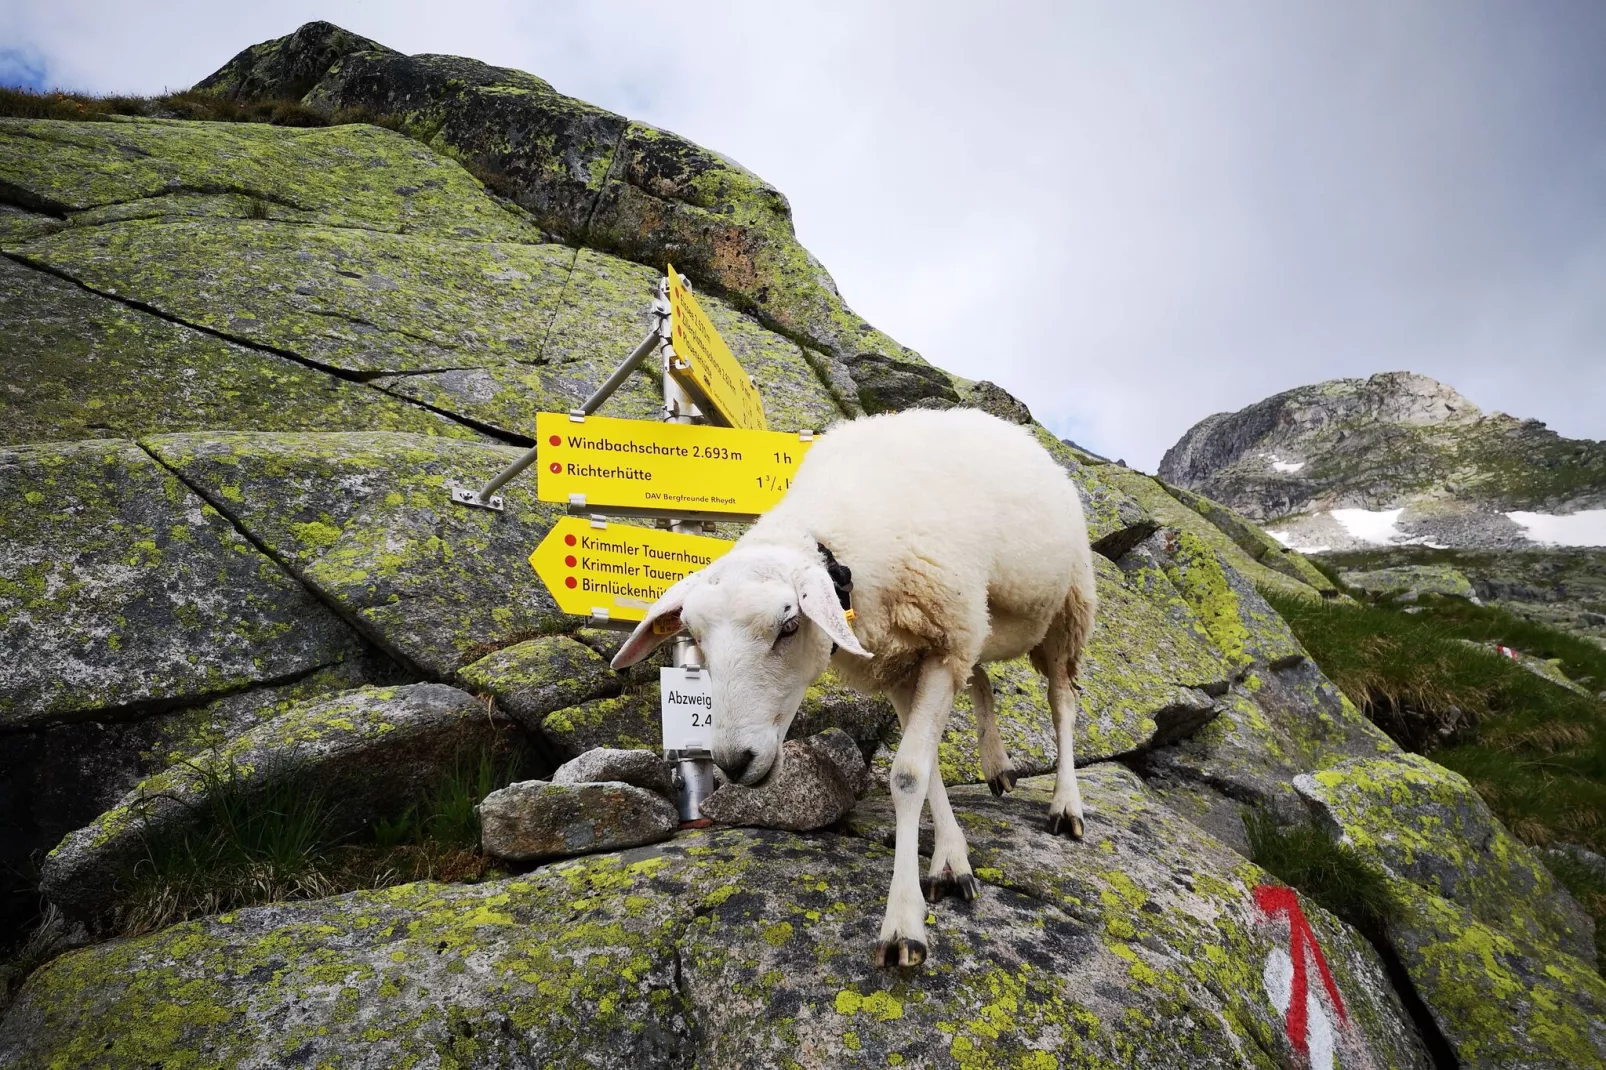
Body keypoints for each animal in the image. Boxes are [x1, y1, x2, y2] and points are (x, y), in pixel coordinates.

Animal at [607, 404, 1098, 963]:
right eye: (694, 635)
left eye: (789, 625)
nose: (733, 762)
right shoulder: (903, 659)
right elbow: (927, 768)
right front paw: (951, 861)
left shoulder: (942, 643)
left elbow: (908, 774)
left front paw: (903, 923)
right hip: (982, 621)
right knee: (981, 678)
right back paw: (997, 765)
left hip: (1066, 609)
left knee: (1061, 702)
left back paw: (1066, 804)